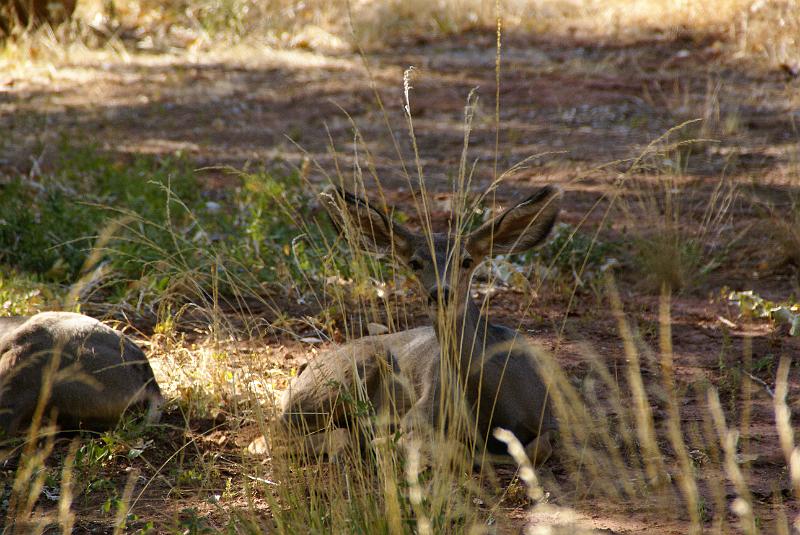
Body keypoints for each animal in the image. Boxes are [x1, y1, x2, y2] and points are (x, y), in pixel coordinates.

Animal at [282, 186, 564, 466]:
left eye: (466, 260)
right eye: (415, 263)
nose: (440, 293)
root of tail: (304, 368)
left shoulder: (550, 418)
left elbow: (539, 448)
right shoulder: (421, 411)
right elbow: (455, 451)